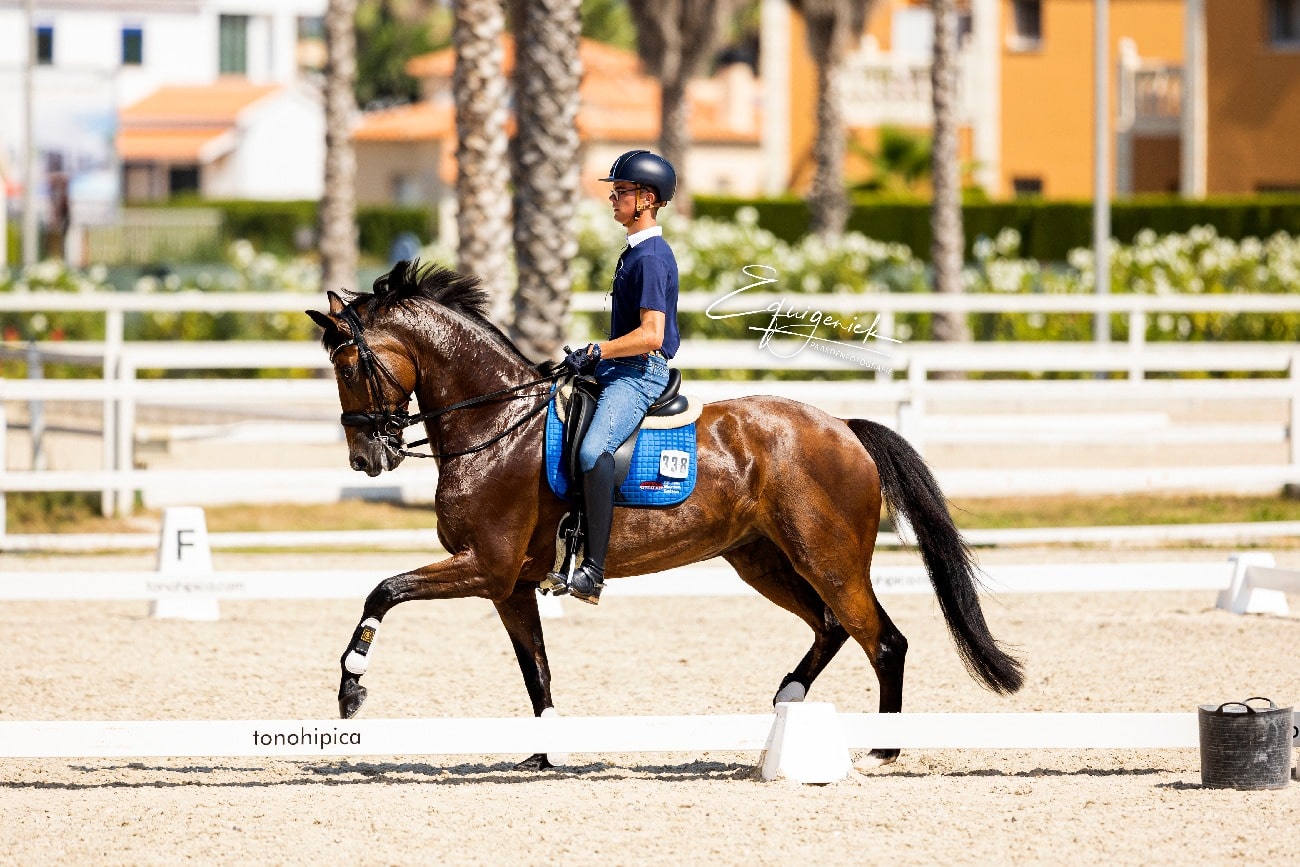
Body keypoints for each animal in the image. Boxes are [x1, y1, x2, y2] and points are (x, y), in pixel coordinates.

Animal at [306, 261, 1024, 769]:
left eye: (350, 365)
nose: (367, 458)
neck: (498, 426)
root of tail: (843, 427)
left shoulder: (485, 565)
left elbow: (383, 589)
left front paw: (351, 687)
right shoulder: (509, 583)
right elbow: (535, 668)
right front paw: (544, 752)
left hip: (828, 556)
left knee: (882, 640)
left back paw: (882, 747)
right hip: (762, 560)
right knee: (830, 628)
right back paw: (787, 703)